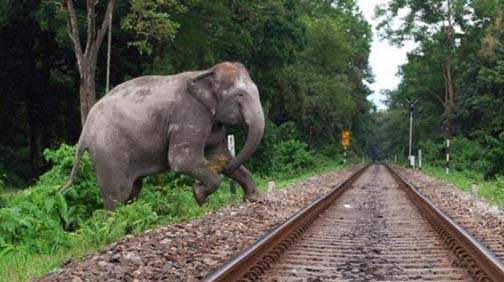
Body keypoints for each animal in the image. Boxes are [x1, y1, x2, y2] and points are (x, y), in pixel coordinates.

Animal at [61, 62, 266, 212]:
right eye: (240, 95)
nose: (225, 168)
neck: (205, 72)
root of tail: (85, 132)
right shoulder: (189, 115)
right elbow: (181, 160)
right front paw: (199, 195)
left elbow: (219, 154)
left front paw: (255, 198)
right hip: (109, 152)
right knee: (119, 194)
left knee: (133, 190)